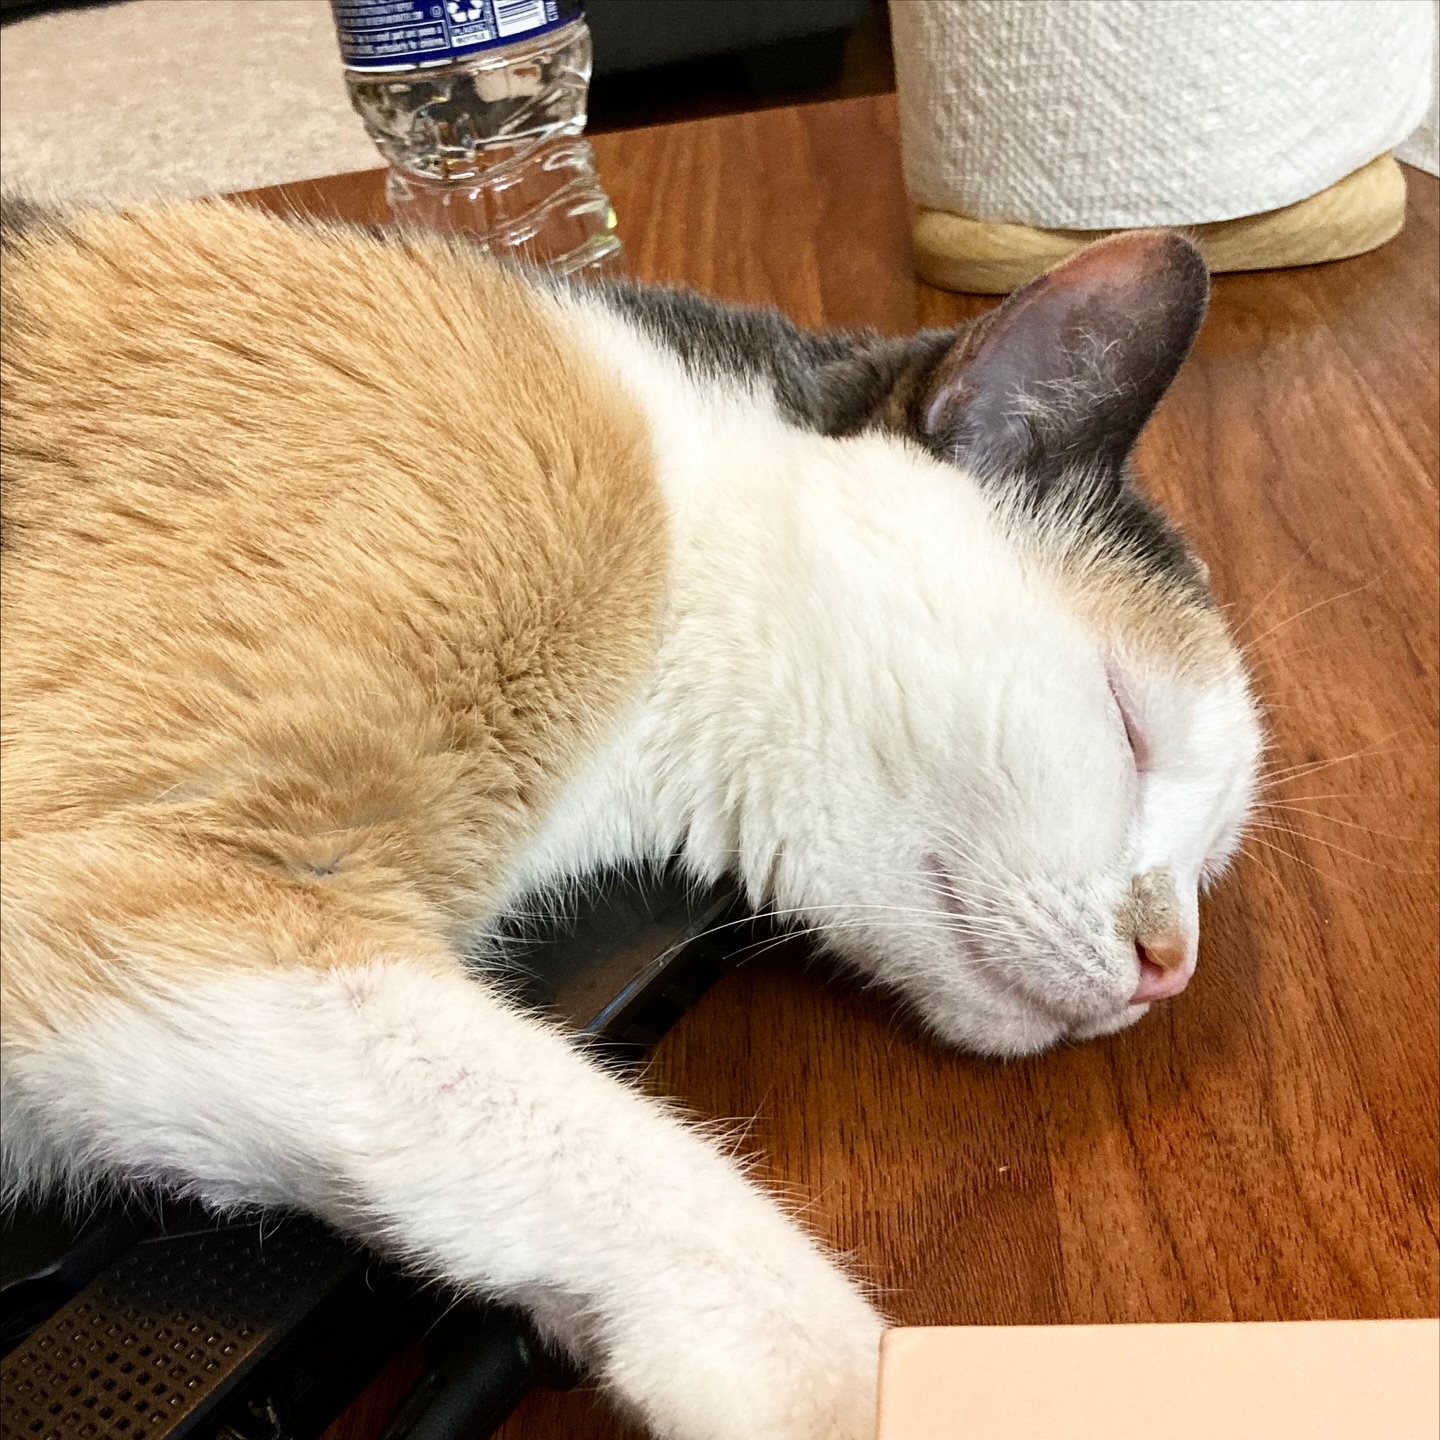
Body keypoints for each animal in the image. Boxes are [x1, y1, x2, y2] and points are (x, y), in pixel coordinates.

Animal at [0, 197, 1261, 1440]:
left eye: (1204, 864)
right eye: (1130, 727)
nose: (1172, 967)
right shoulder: (146, 877)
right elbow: (624, 1172)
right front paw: (850, 1388)